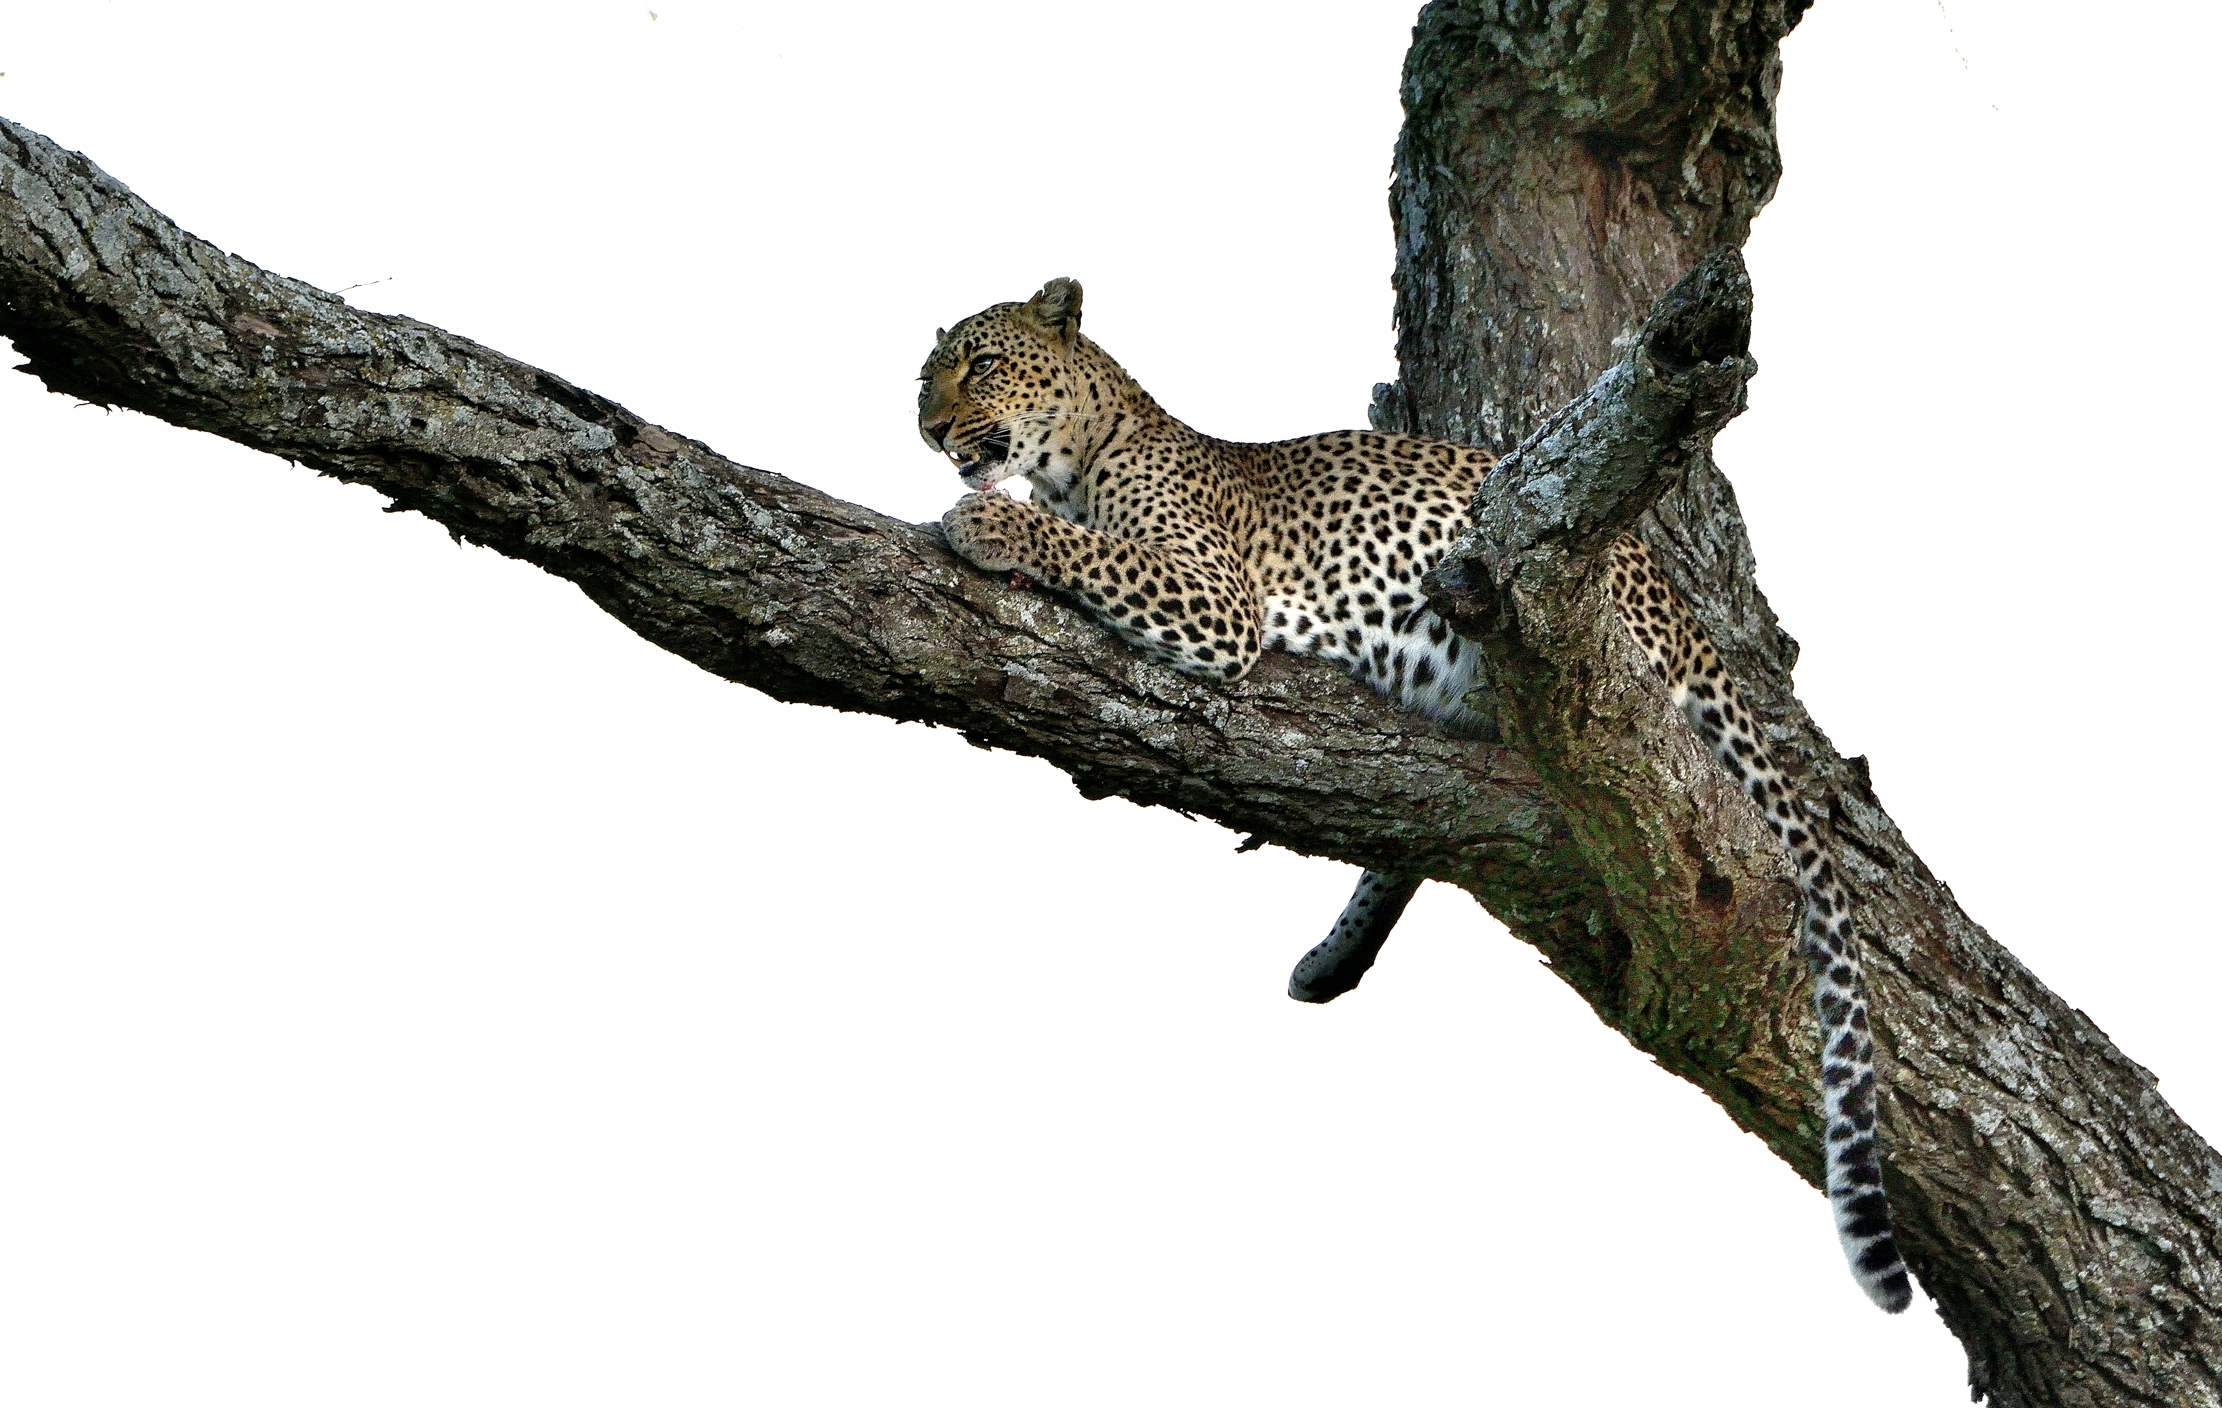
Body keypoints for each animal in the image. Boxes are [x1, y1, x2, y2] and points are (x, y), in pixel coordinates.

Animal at [920, 278, 1912, 1315]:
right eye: (923, 378)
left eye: (981, 365)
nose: (927, 425)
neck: (1078, 458)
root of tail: (1682, 610)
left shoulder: (1217, 599)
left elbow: (1087, 548)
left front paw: (987, 527)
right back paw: (1333, 958)